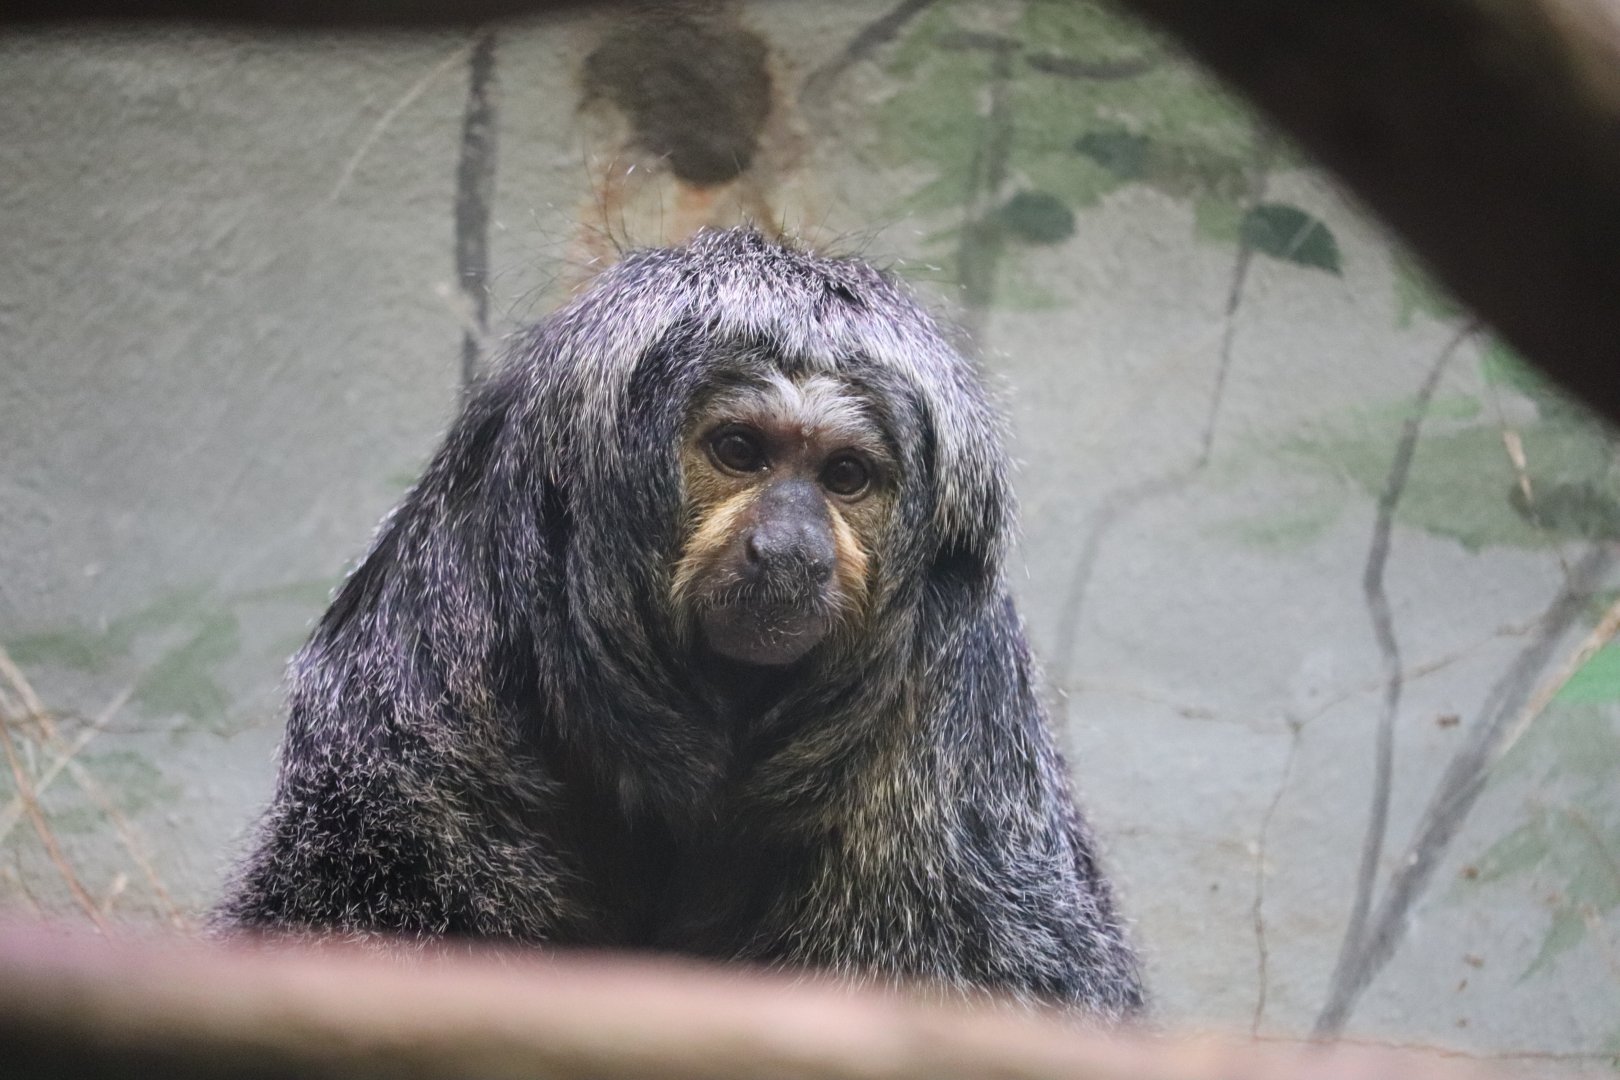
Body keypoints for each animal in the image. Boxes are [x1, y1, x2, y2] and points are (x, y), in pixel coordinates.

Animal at [216, 227, 1145, 1019]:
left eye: (846, 475)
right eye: (739, 450)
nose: (791, 548)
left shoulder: (948, 744)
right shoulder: (439, 644)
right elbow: (371, 885)